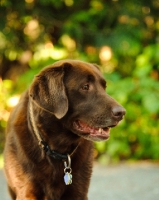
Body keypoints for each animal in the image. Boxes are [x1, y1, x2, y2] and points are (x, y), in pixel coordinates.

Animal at [3, 59, 125, 200]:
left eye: (104, 87)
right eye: (85, 87)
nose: (122, 113)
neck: (57, 150)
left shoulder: (79, 191)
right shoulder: (27, 192)